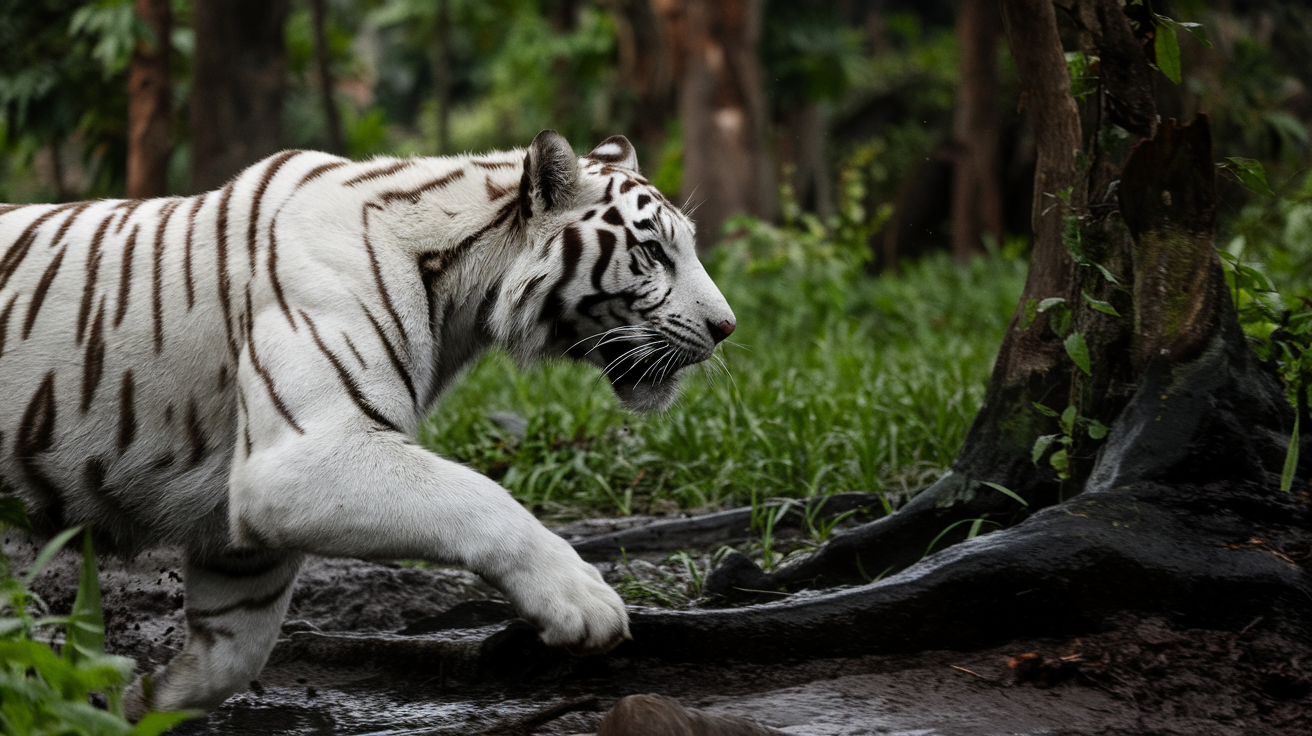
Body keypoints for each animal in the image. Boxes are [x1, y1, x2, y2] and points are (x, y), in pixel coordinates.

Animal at [0, 130, 734, 713]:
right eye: (655, 254)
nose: (726, 327)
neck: (462, 294)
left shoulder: (238, 530)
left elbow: (230, 655)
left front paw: (131, 703)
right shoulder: (304, 455)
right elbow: (476, 497)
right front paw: (583, 602)